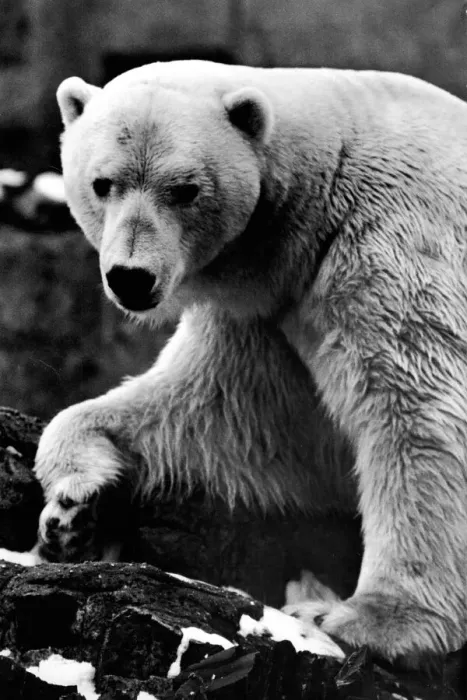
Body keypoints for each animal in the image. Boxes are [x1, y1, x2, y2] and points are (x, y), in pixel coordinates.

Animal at [33, 60, 467, 667]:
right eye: (102, 183)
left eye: (185, 189)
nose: (131, 278)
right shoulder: (268, 309)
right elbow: (233, 414)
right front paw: (75, 503)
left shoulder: (390, 242)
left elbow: (416, 406)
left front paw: (375, 619)